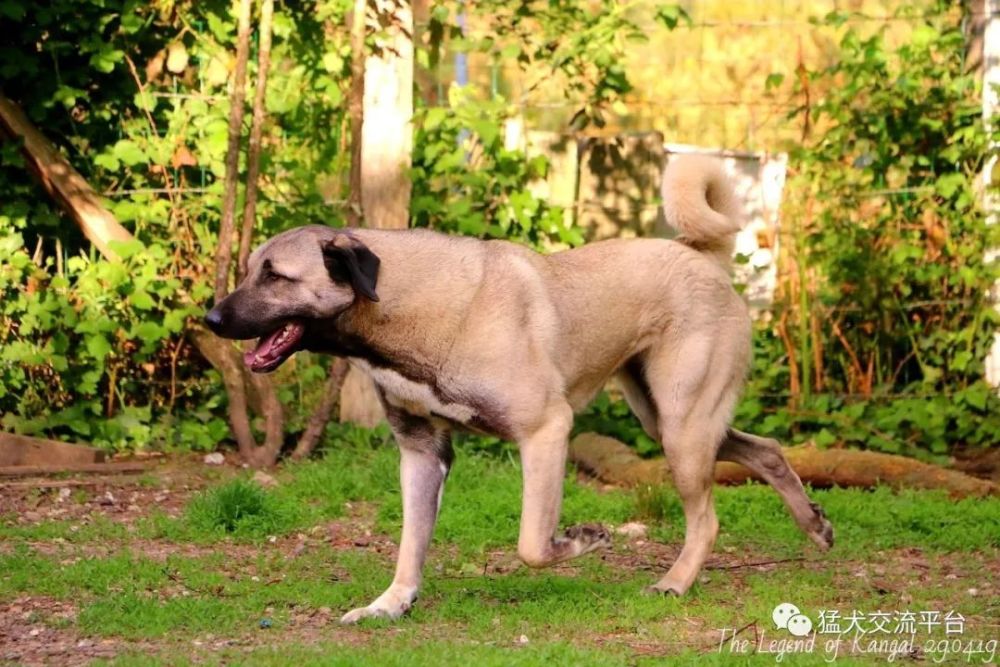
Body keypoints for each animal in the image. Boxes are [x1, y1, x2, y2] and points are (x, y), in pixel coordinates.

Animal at [201, 155, 828, 628]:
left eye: (276, 276)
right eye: (250, 269)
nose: (210, 318)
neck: (403, 303)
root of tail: (701, 256)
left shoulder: (547, 430)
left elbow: (532, 543)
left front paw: (583, 540)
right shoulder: (422, 453)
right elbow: (410, 546)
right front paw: (391, 604)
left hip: (681, 426)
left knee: (708, 518)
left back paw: (675, 581)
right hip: (668, 419)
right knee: (767, 450)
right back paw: (814, 523)